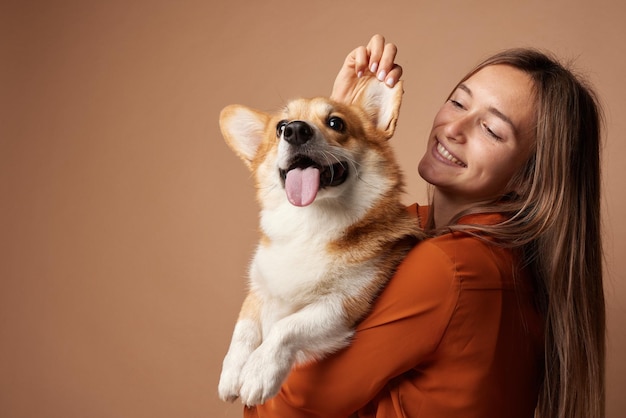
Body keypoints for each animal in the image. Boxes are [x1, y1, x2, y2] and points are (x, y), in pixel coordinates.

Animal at [216, 74, 424, 404]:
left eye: (336, 123)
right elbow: (244, 326)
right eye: (280, 127)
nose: (295, 130)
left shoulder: (342, 303)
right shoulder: (258, 290)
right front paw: (232, 372)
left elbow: (287, 327)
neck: (309, 225)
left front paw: (258, 372)